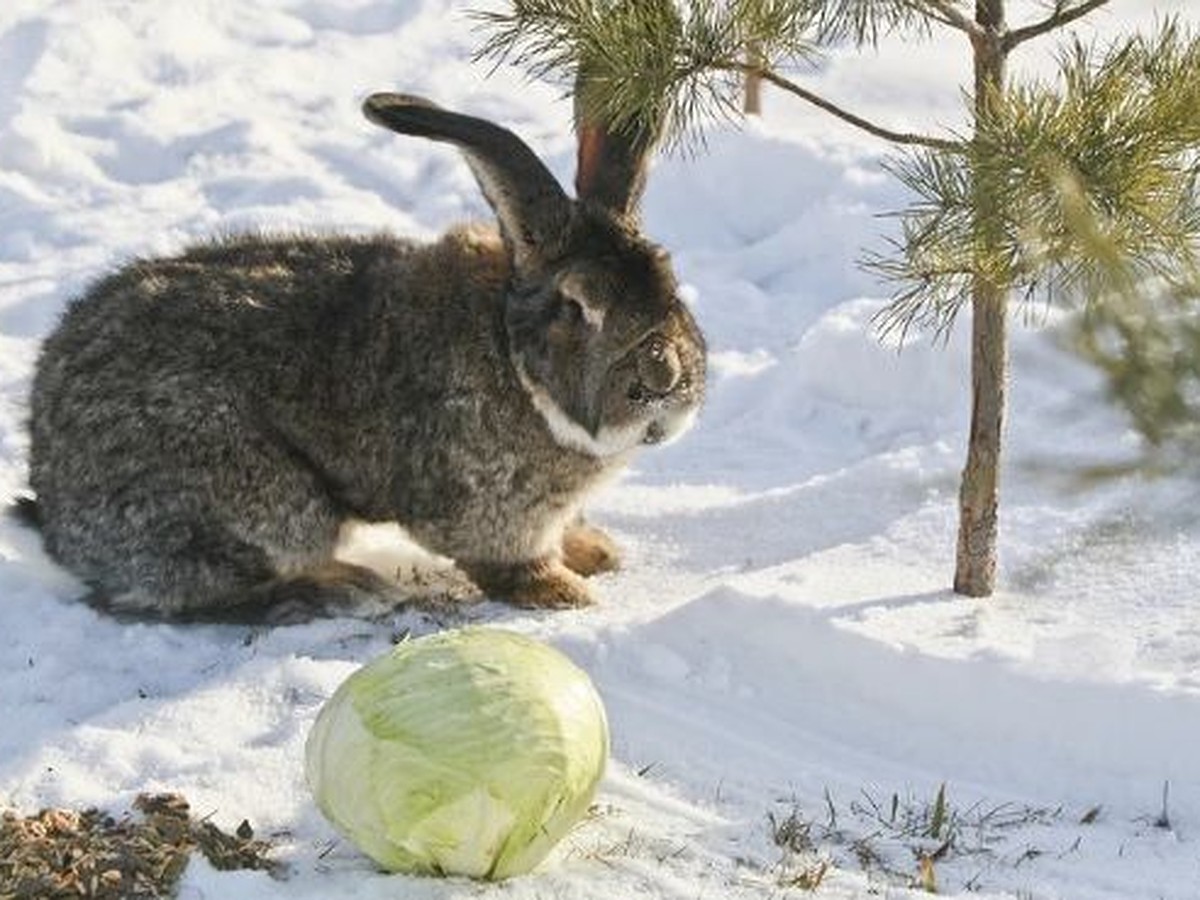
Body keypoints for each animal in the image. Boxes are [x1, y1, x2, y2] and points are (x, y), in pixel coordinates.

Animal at [21, 95, 700, 624]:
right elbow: (504, 559)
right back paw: (339, 589)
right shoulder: (488, 509)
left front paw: (595, 552)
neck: (510, 352)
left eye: (671, 283)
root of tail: (53, 504)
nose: (664, 378)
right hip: (263, 499)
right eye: (578, 306)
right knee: (181, 593)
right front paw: (562, 591)